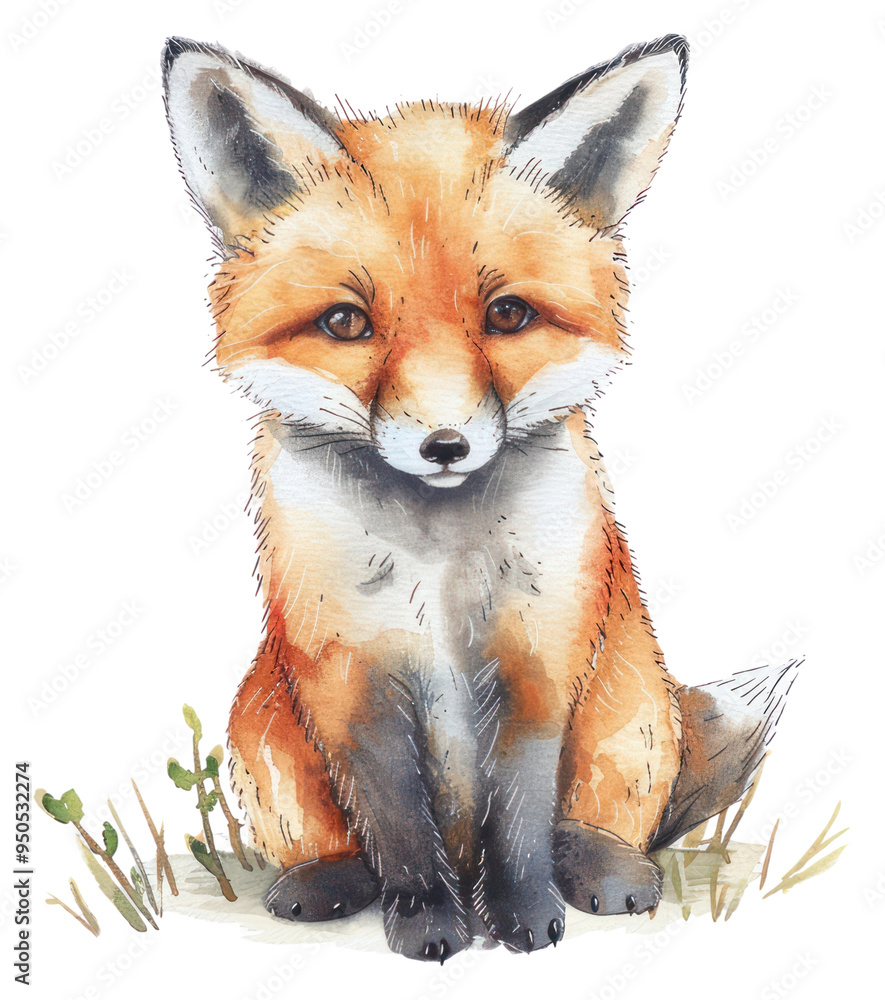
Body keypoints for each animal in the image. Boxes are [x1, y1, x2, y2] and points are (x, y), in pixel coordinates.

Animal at [162, 34, 798, 960]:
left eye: (506, 314)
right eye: (346, 323)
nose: (444, 445)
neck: (440, 568)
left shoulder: (538, 661)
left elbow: (521, 819)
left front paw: (525, 916)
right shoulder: (353, 678)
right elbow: (396, 823)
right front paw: (428, 922)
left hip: (634, 709)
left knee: (605, 820)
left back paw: (603, 867)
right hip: (263, 734)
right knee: (333, 837)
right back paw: (326, 880)